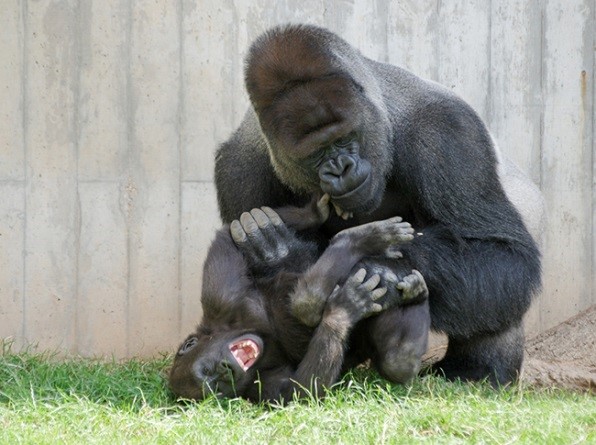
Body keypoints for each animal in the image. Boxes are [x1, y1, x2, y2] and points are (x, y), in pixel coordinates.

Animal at [168, 198, 428, 402]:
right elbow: (302, 391)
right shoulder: (260, 386)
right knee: (398, 362)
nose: (226, 369)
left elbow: (226, 238)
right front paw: (342, 311)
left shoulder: (221, 301)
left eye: (209, 368)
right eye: (214, 383)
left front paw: (311, 213)